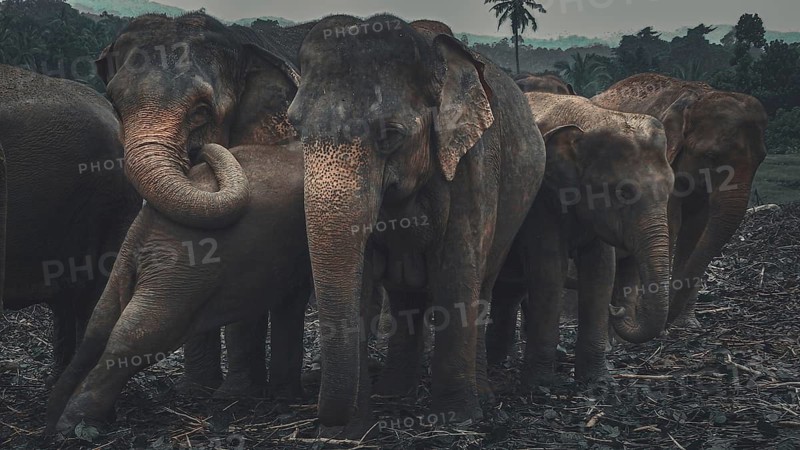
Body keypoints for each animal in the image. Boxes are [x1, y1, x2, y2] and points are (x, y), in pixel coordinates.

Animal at [45, 143, 312, 434]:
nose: (196, 148)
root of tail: (146, 227)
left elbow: (292, 300)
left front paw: (287, 397)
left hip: (132, 261)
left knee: (101, 322)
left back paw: (52, 415)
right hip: (181, 270)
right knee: (142, 332)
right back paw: (74, 424)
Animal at [286, 15, 545, 435]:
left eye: (390, 134)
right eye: (295, 128)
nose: (322, 418)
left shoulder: (473, 163)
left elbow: (456, 274)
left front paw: (458, 417)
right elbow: (362, 281)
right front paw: (352, 430)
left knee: (481, 286)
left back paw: (483, 398)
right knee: (404, 297)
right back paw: (394, 392)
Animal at [487, 92, 674, 384]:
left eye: (671, 187)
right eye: (624, 192)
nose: (617, 308)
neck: (592, 118)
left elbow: (601, 269)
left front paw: (598, 382)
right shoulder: (540, 198)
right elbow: (550, 268)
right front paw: (540, 384)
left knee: (509, 288)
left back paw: (499, 361)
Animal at [592, 74, 768, 327]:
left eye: (761, 159)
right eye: (711, 156)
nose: (666, 324)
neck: (695, 97)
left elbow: (695, 229)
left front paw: (687, 324)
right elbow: (671, 224)